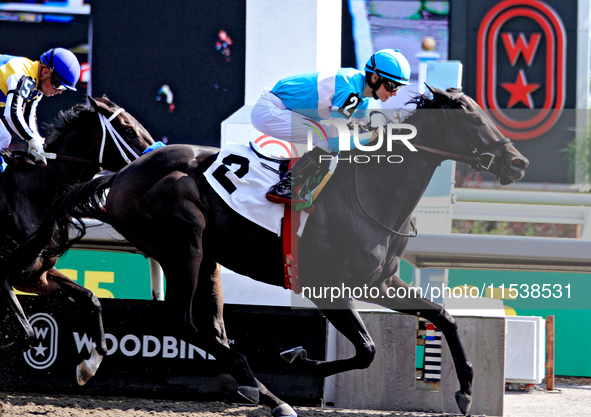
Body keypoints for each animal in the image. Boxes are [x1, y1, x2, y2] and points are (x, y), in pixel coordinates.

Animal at [0, 96, 155, 382]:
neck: (32, 195)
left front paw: (89, 365)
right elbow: (27, 333)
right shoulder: (2, 276)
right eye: (128, 130)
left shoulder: (36, 276)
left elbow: (91, 299)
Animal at [19, 86, 528, 414]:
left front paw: (465, 390)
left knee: (213, 328)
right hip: (183, 246)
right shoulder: (328, 287)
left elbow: (442, 316)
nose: (518, 163)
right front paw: (299, 358)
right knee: (182, 320)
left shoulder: (381, 281)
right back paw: (263, 391)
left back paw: (260, 391)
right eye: (470, 118)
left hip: (207, 258)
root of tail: (121, 174)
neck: (373, 191)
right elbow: (366, 350)